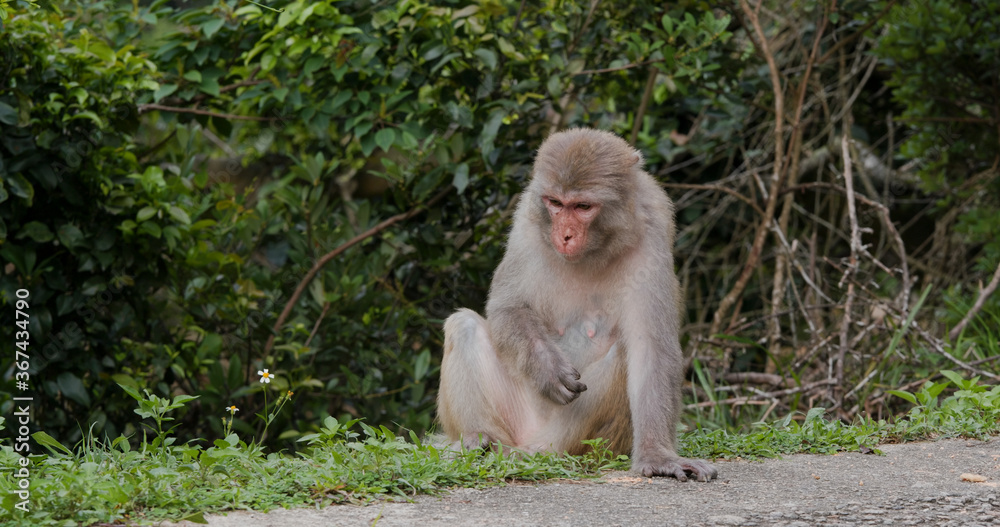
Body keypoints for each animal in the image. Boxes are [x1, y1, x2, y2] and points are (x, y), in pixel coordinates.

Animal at [437, 128, 717, 482]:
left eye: (583, 206)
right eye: (556, 203)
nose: (565, 235)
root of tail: (528, 442)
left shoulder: (651, 236)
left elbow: (650, 348)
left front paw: (658, 456)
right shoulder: (527, 220)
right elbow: (507, 308)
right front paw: (547, 366)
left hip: (570, 440)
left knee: (623, 354)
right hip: (516, 419)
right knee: (465, 326)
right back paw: (480, 440)